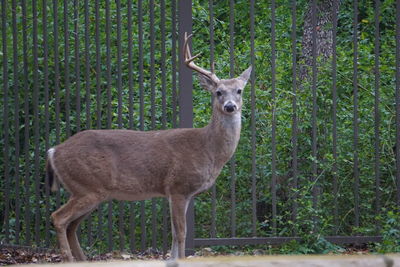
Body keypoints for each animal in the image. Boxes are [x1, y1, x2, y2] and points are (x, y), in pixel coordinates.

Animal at [47, 32, 252, 262]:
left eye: (239, 91)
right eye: (218, 92)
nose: (230, 106)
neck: (207, 149)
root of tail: (54, 151)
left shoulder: (182, 193)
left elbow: (175, 234)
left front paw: (171, 259)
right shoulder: (178, 186)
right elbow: (181, 233)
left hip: (88, 190)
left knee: (72, 225)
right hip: (87, 185)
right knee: (59, 218)